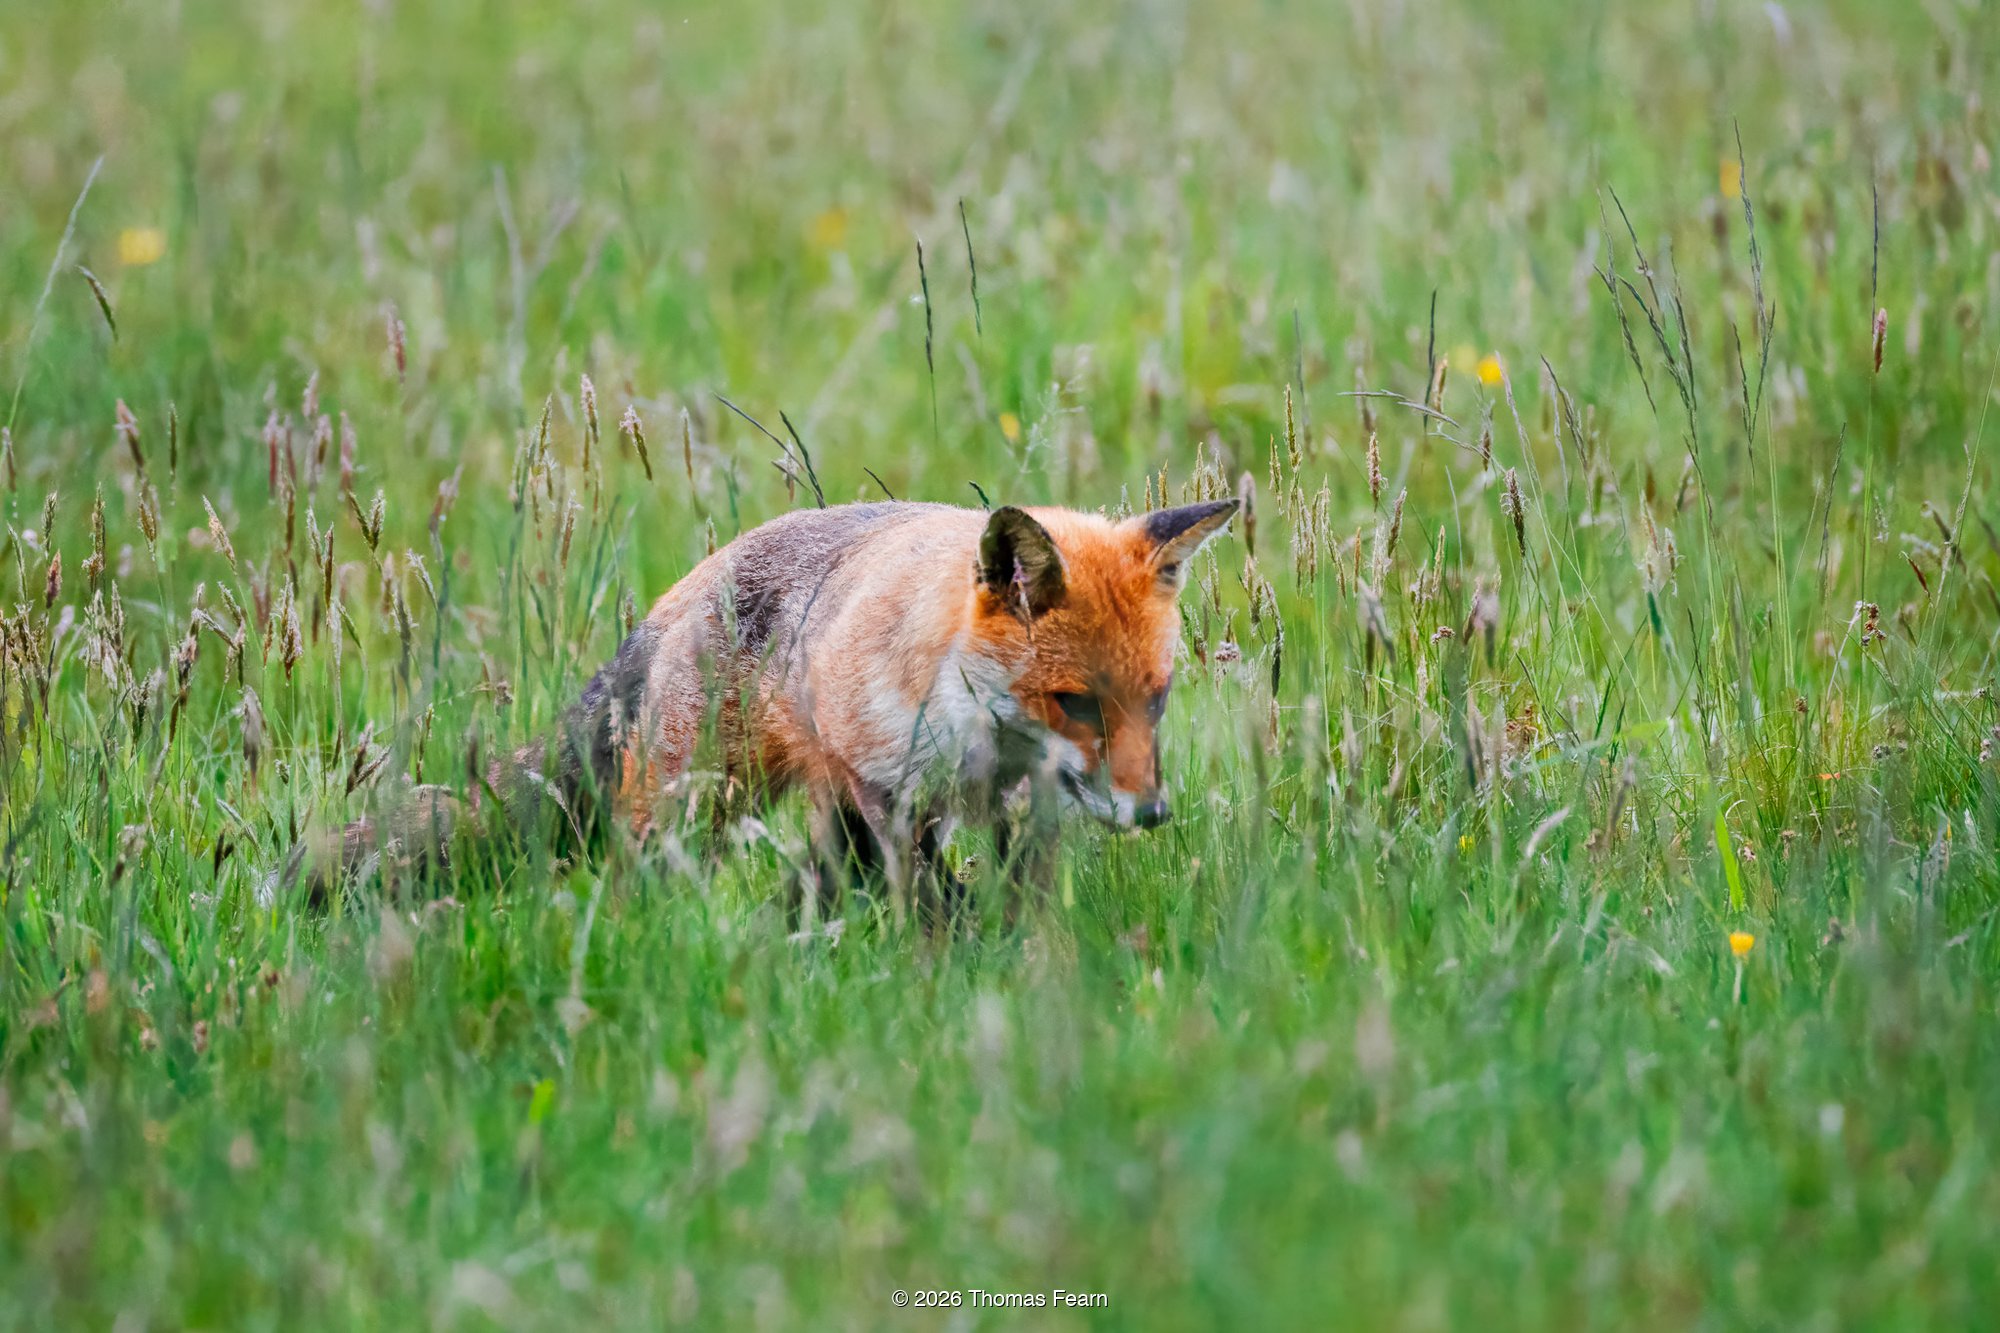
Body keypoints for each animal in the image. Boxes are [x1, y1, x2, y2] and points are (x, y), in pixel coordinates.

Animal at [290, 496, 1238, 915]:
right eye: (1074, 702)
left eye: (1155, 699)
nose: (1152, 814)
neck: (983, 742)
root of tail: (682, 587)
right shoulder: (885, 787)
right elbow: (930, 900)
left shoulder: (1020, 809)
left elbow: (1020, 903)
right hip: (694, 802)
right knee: (642, 874)